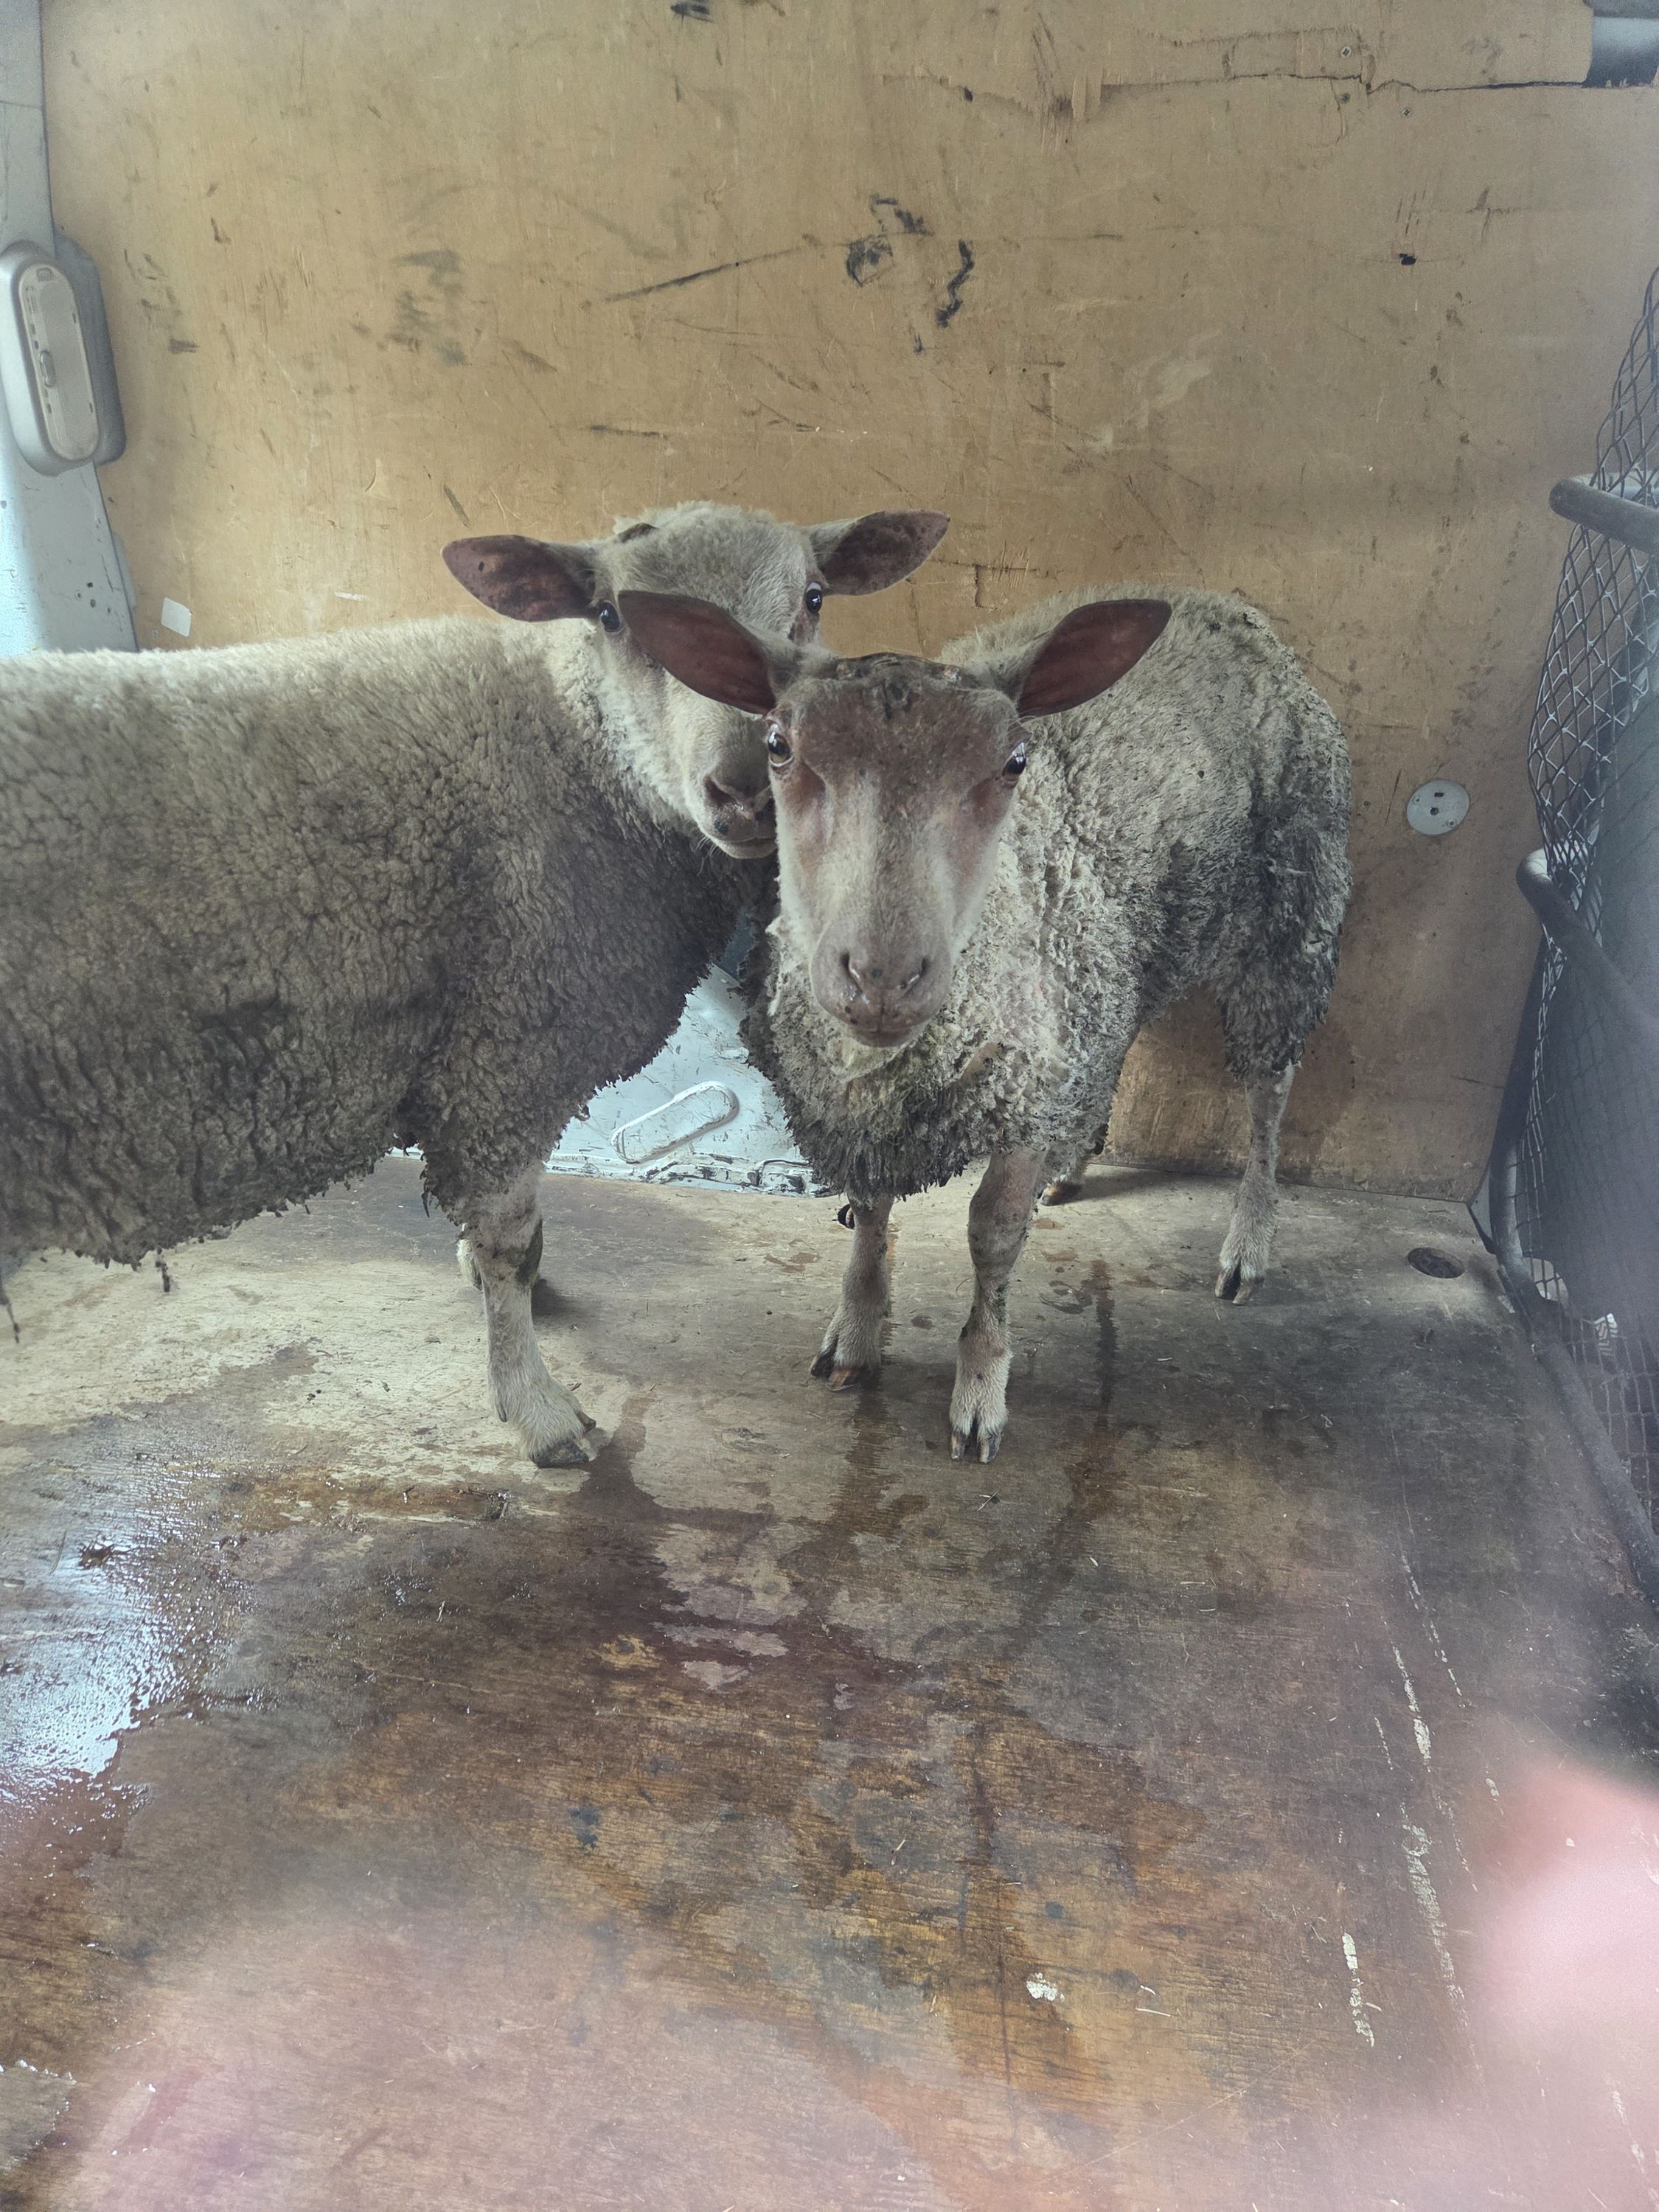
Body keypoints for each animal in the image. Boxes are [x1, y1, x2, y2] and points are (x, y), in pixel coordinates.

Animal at [0, 500, 948, 1463]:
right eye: (609, 615)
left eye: (815, 598)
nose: (750, 790)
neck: (573, 749)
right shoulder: (507, 1051)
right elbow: (508, 1249)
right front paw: (536, 1408)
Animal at [618, 581, 1351, 1462]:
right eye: (778, 745)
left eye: (1015, 762)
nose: (883, 977)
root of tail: (1223, 605)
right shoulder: (880, 1111)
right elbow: (869, 1211)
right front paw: (857, 1330)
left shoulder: (1025, 1090)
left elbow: (993, 1237)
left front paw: (980, 1387)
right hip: (1108, 965)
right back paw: (1077, 1162)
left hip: (1291, 916)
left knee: (1269, 1092)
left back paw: (1249, 1240)